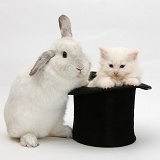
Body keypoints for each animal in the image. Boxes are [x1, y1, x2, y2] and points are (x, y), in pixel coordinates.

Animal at [3, 15, 90, 148]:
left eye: (81, 50)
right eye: (64, 54)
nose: (80, 67)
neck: (54, 66)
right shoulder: (66, 84)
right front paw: (87, 80)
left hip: (56, 120)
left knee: (53, 131)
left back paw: (67, 131)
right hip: (23, 125)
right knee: (20, 136)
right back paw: (30, 141)